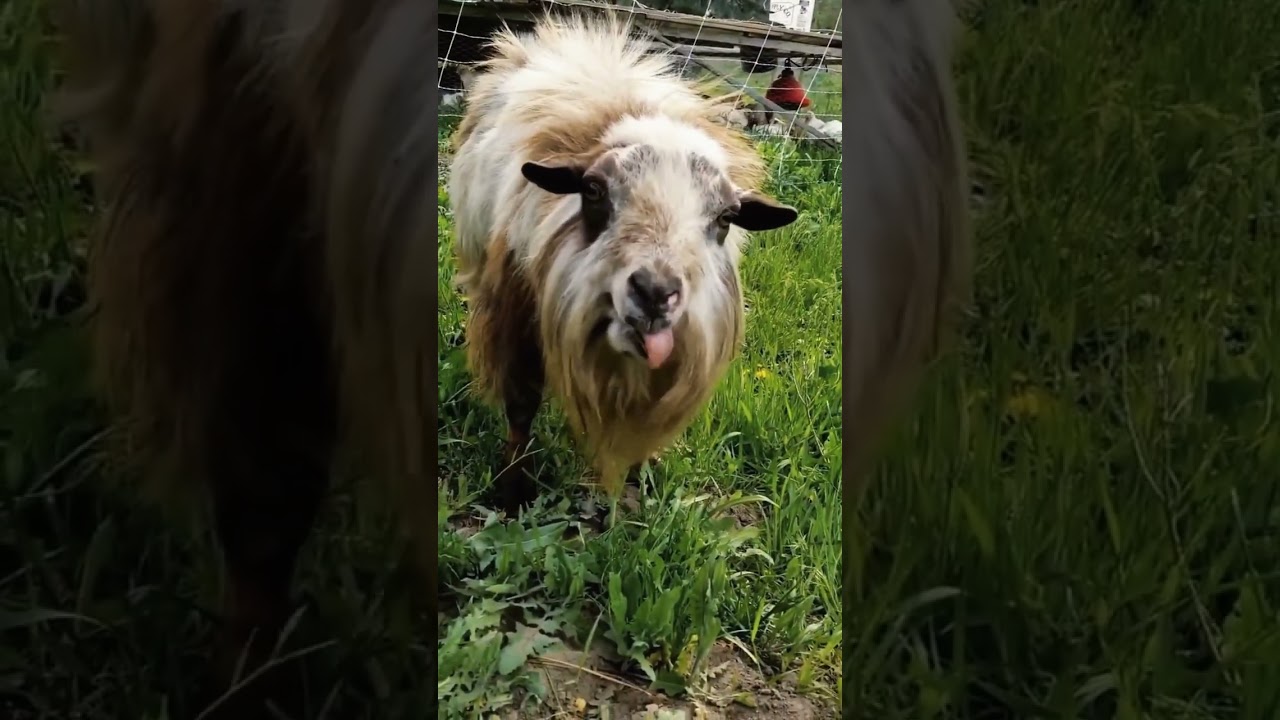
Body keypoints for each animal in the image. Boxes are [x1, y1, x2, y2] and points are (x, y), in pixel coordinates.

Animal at [448, 15, 799, 508]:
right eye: (594, 191)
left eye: (726, 218)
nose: (654, 293)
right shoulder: (515, 310)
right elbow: (521, 402)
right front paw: (512, 488)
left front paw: (639, 481)